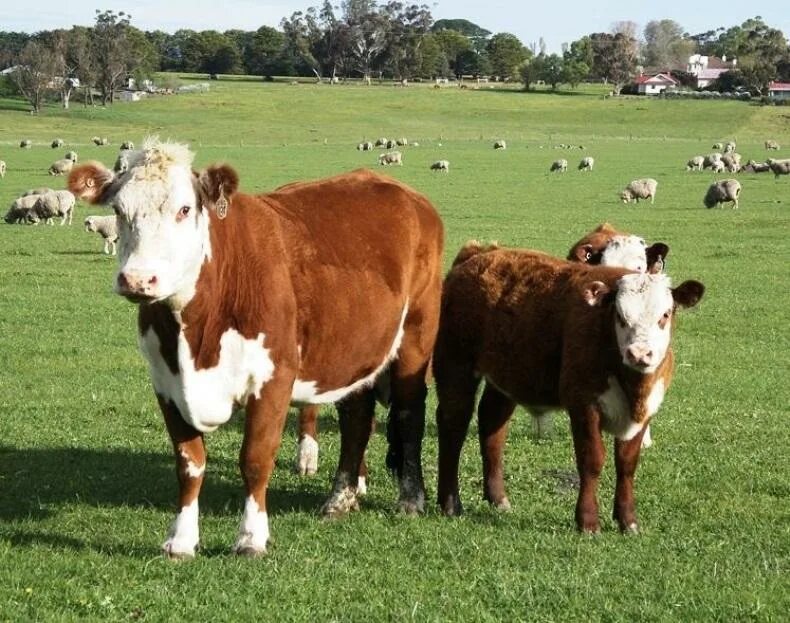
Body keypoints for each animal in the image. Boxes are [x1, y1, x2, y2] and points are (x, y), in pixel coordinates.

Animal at [66, 139, 446, 560]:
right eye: (119, 210)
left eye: (184, 209)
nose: (137, 279)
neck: (197, 334)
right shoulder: (166, 382)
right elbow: (189, 463)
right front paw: (180, 539)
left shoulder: (274, 377)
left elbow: (255, 458)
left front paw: (251, 537)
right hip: (355, 349)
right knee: (357, 418)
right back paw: (339, 499)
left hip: (416, 336)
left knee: (409, 413)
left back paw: (410, 499)